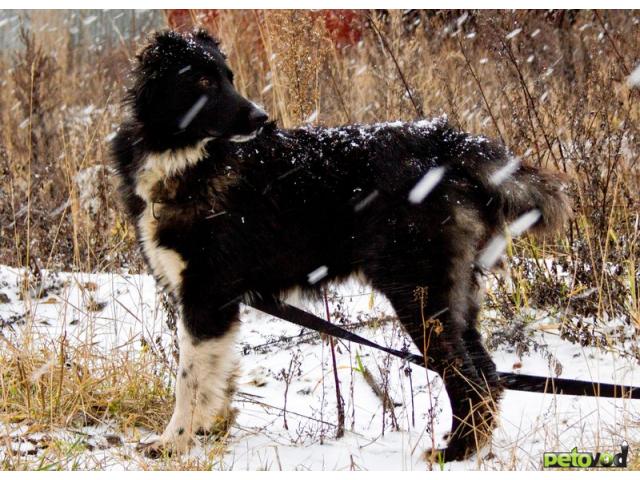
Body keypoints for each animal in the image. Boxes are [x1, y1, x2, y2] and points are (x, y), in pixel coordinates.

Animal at [110, 29, 568, 462]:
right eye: (204, 80)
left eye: (228, 77)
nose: (261, 118)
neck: (184, 157)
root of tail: (445, 141)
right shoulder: (215, 305)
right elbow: (215, 378)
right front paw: (211, 429)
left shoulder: (206, 298)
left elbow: (188, 381)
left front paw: (174, 442)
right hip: (455, 295)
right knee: (488, 375)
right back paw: (470, 449)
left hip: (418, 295)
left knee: (468, 379)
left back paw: (453, 453)